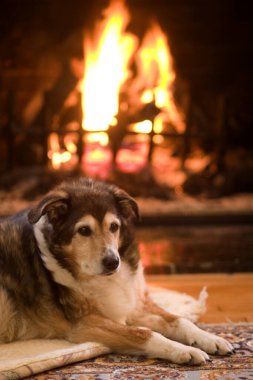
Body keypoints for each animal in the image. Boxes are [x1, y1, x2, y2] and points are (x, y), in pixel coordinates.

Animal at [0, 178, 233, 366]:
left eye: (114, 226)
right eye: (83, 230)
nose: (113, 262)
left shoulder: (135, 306)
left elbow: (179, 320)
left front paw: (212, 339)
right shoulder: (86, 323)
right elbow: (145, 334)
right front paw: (186, 350)